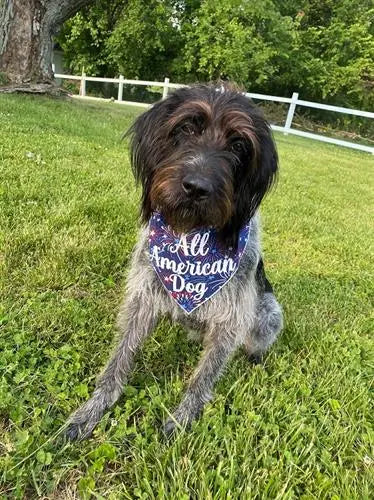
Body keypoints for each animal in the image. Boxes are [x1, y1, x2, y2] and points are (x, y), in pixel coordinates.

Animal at [66, 84, 284, 440]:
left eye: (239, 145)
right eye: (185, 128)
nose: (196, 187)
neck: (191, 238)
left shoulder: (230, 320)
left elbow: (202, 379)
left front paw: (181, 420)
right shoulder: (143, 298)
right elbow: (118, 361)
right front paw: (91, 410)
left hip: (268, 311)